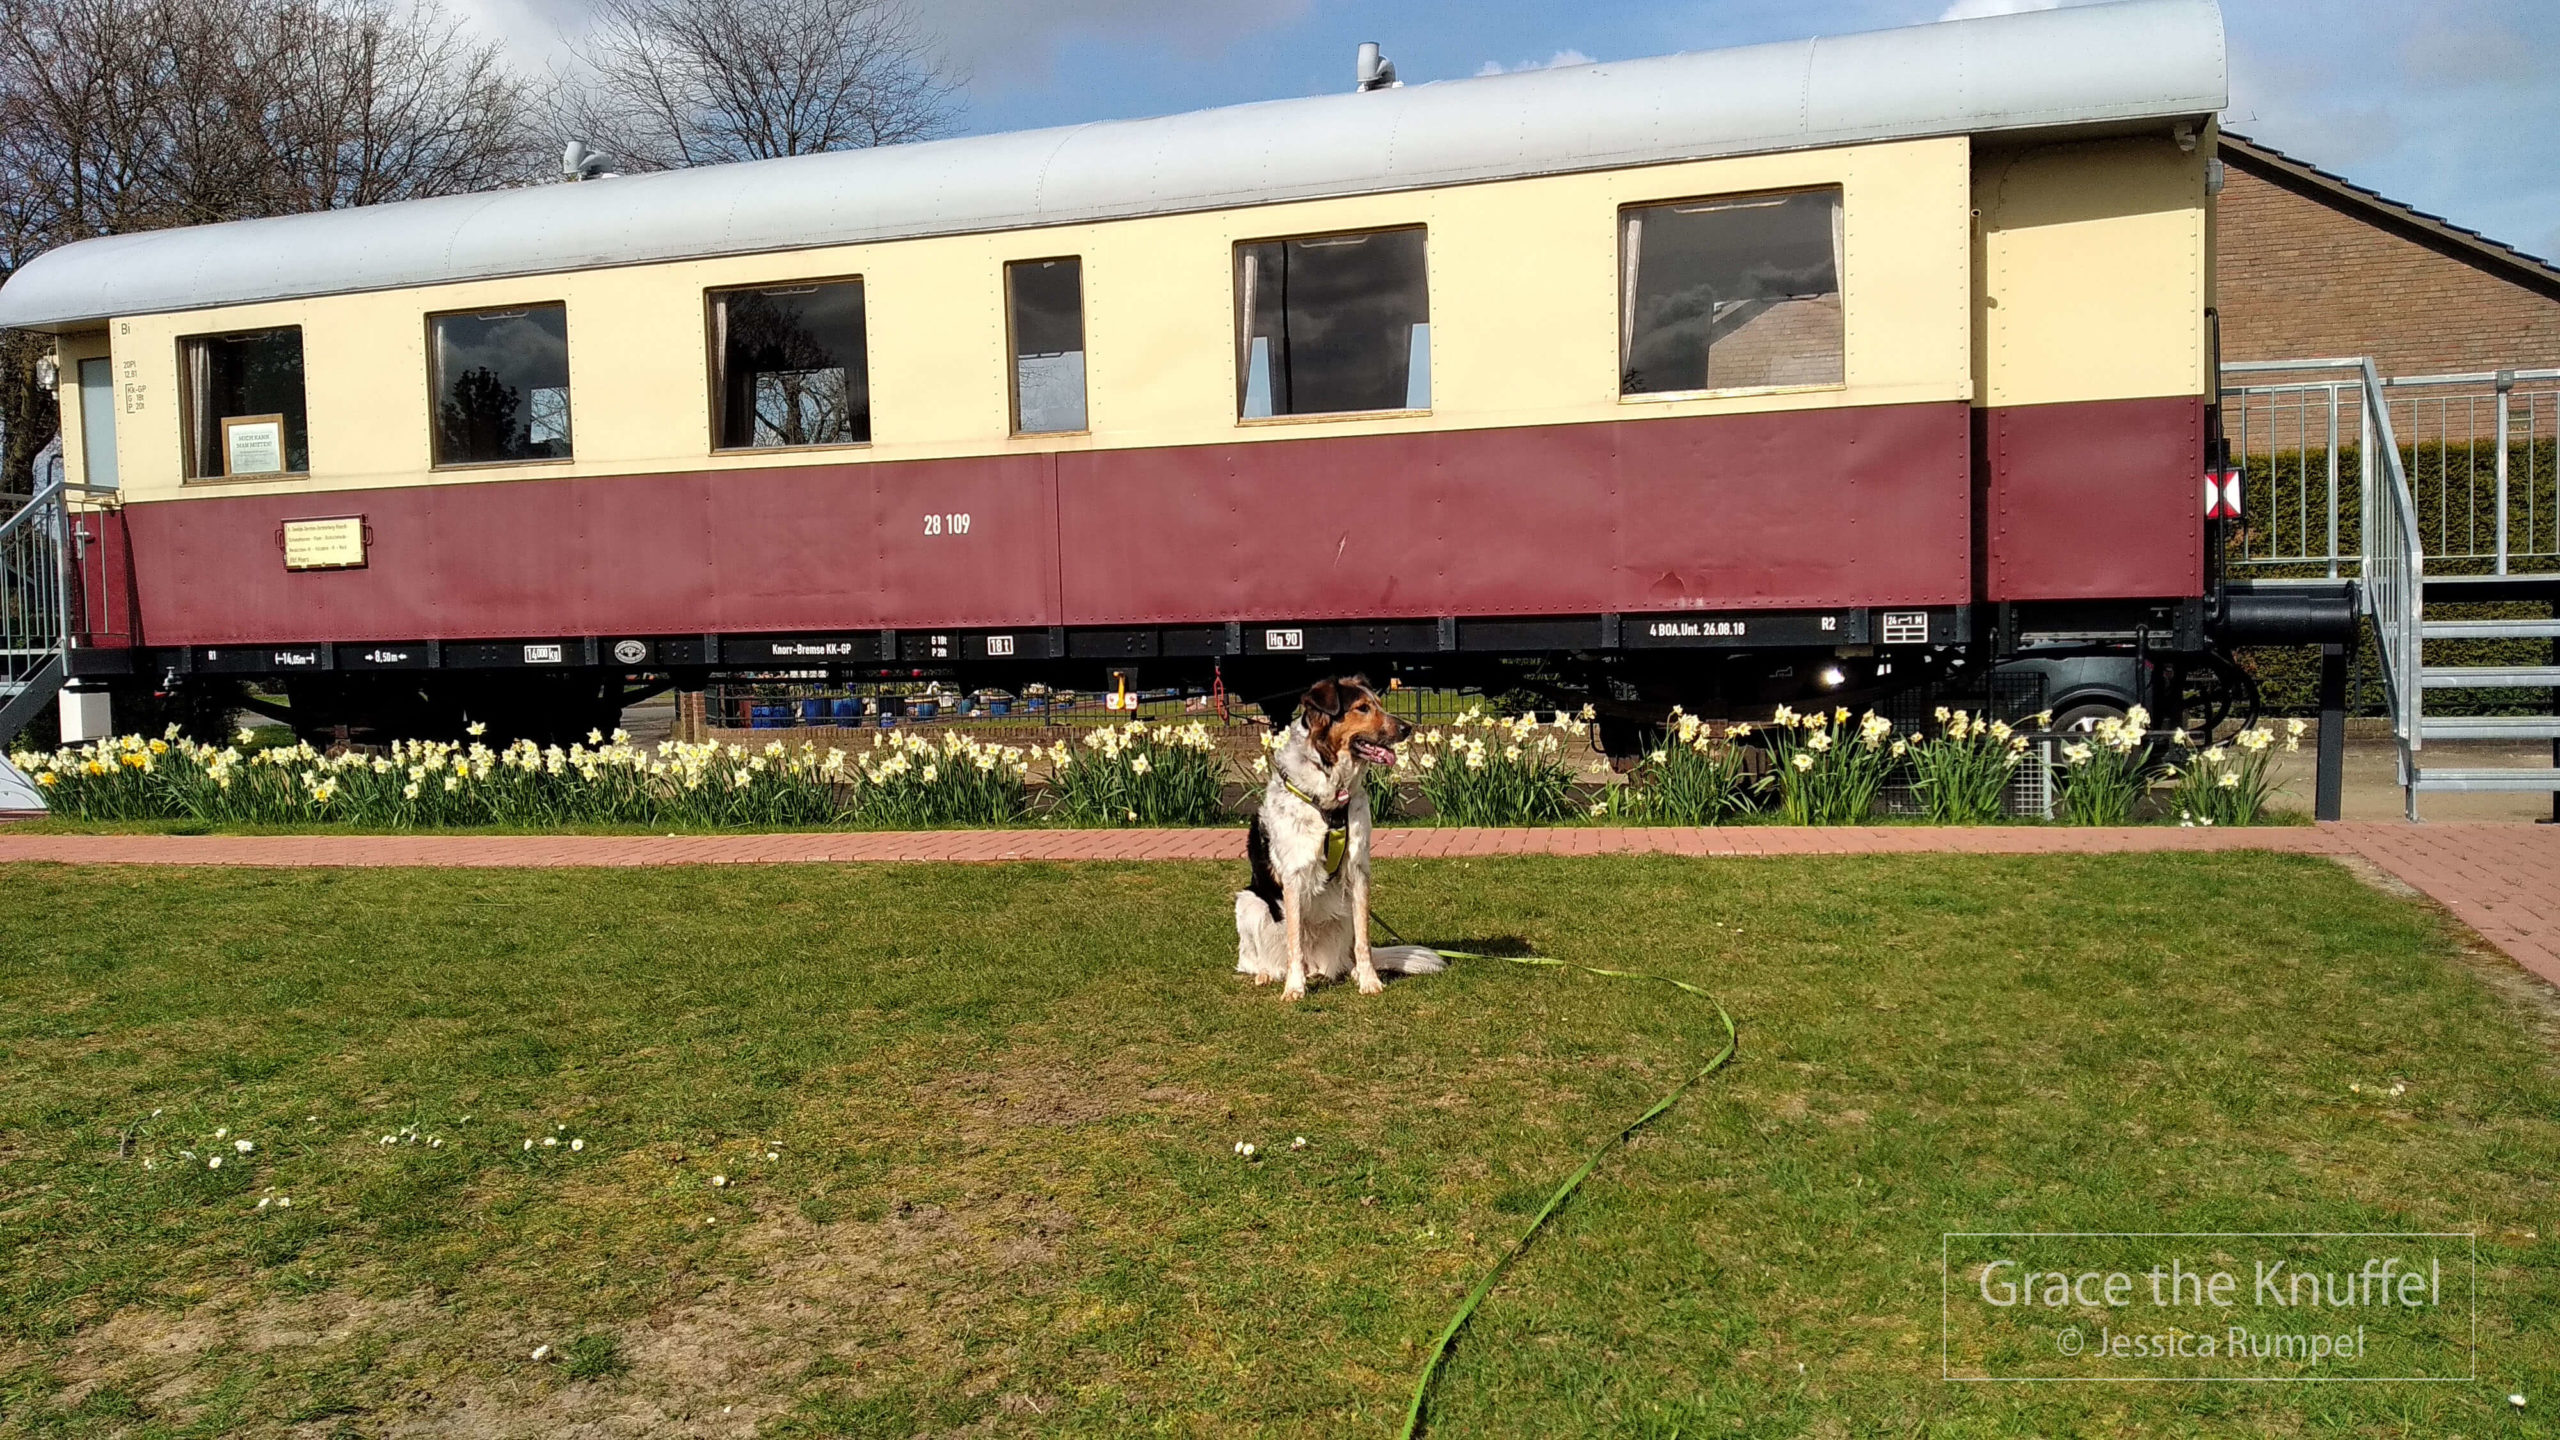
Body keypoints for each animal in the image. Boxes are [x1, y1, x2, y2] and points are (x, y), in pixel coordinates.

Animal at [1233, 676, 1443, 999]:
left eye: (1380, 704)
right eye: (1363, 708)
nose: (1407, 728)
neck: (1332, 791)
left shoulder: (1358, 871)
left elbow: (1364, 941)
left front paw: (1369, 981)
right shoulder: (1293, 877)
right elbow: (1294, 943)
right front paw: (1294, 988)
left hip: (1342, 914)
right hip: (1249, 903)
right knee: (1255, 961)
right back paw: (1268, 975)